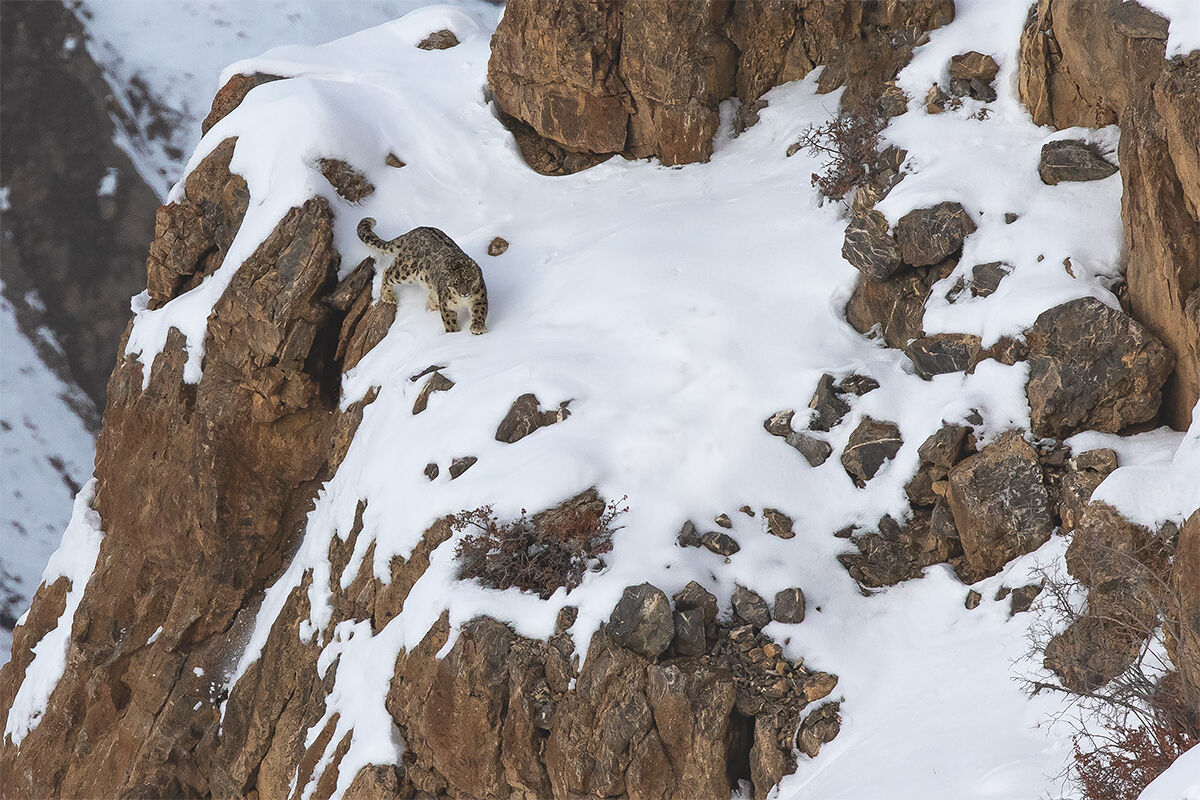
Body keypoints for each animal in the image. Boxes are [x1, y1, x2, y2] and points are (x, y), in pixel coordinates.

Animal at [357, 218, 488, 334]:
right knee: (388, 272)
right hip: (405, 270)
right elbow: (449, 321)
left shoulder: (479, 298)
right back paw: (387, 296)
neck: (463, 301)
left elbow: (479, 312)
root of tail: (412, 232)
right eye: (455, 283)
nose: (464, 293)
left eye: (469, 280)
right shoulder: (446, 306)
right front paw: (453, 334)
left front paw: (477, 328)